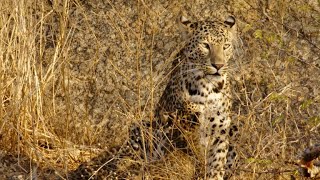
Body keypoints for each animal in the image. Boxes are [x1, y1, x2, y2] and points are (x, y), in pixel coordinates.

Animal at [65, 15, 238, 180]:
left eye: (226, 46)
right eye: (205, 45)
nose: (219, 65)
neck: (209, 90)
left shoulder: (220, 132)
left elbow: (217, 163)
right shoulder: (179, 124)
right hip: (140, 129)